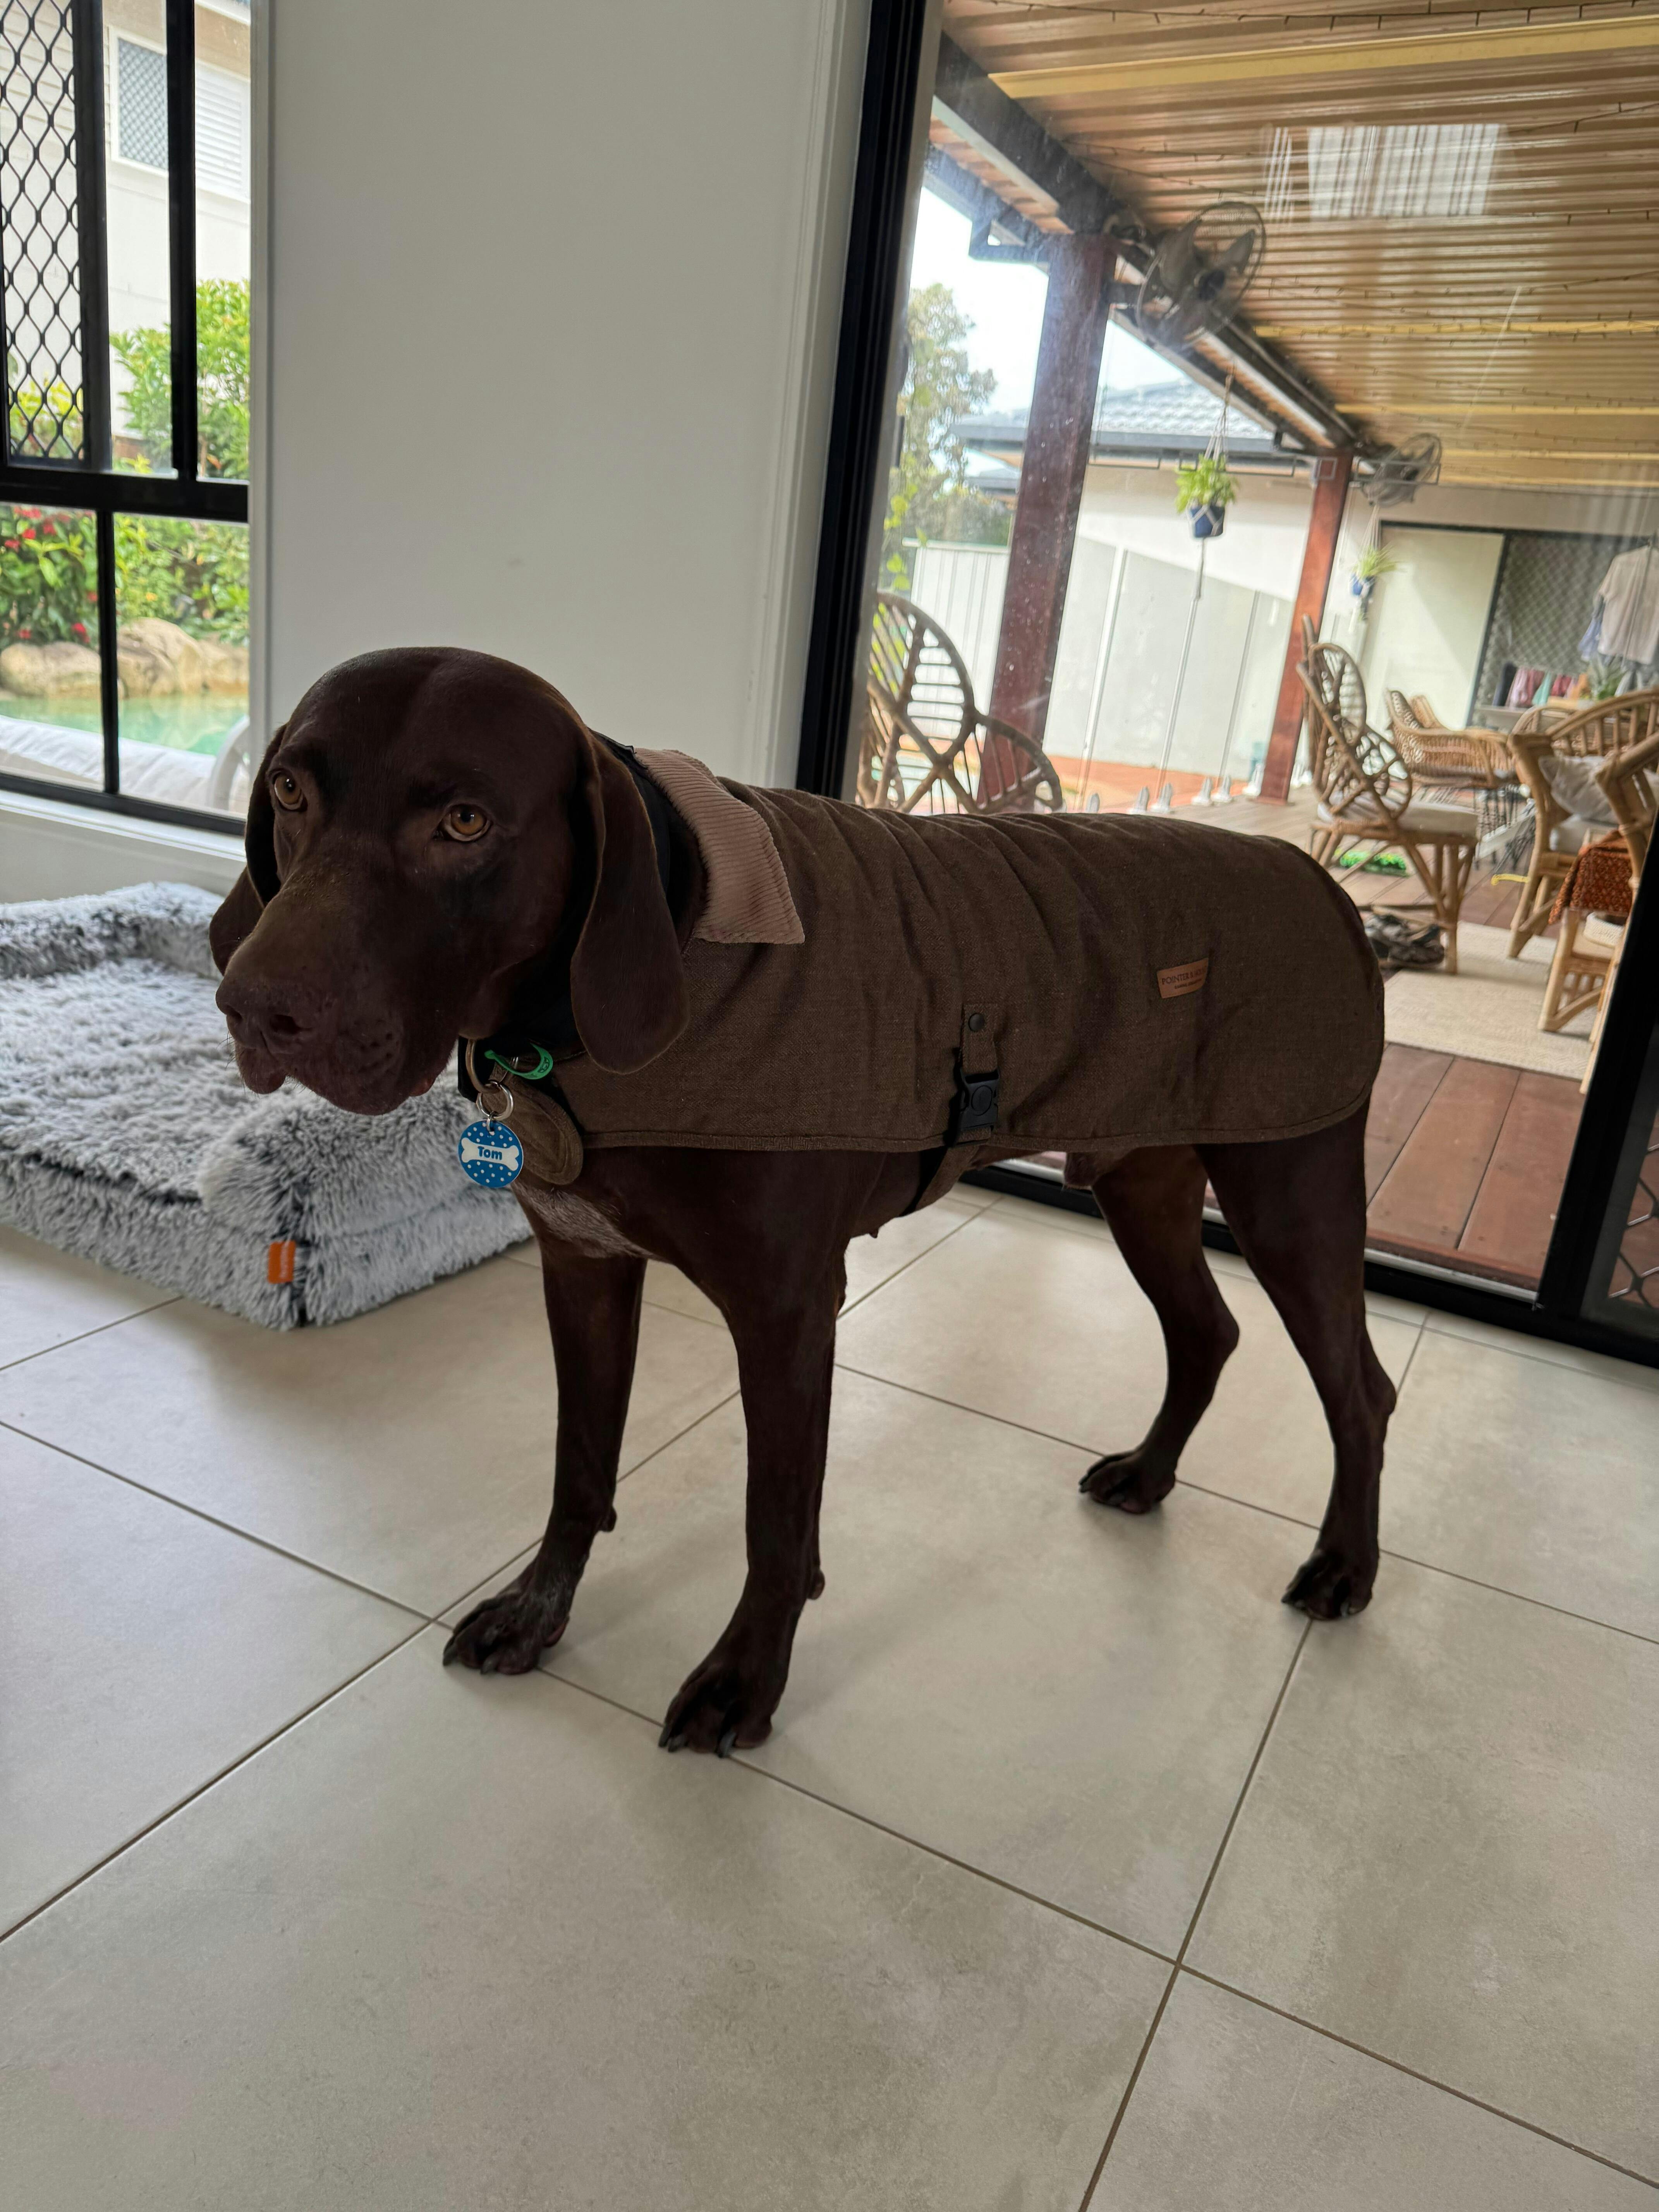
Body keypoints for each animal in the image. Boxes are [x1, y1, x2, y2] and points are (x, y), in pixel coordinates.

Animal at [211, 647, 1395, 1755]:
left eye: (464, 821)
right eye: (290, 791)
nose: (254, 1007)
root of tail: (1319, 878)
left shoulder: (785, 1314)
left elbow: (774, 1525)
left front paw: (745, 1680)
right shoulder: (583, 1268)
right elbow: (578, 1470)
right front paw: (539, 1609)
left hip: (1290, 1194)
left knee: (1360, 1392)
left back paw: (1344, 1564)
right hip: (1143, 1181)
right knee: (1206, 1332)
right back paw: (1151, 1474)